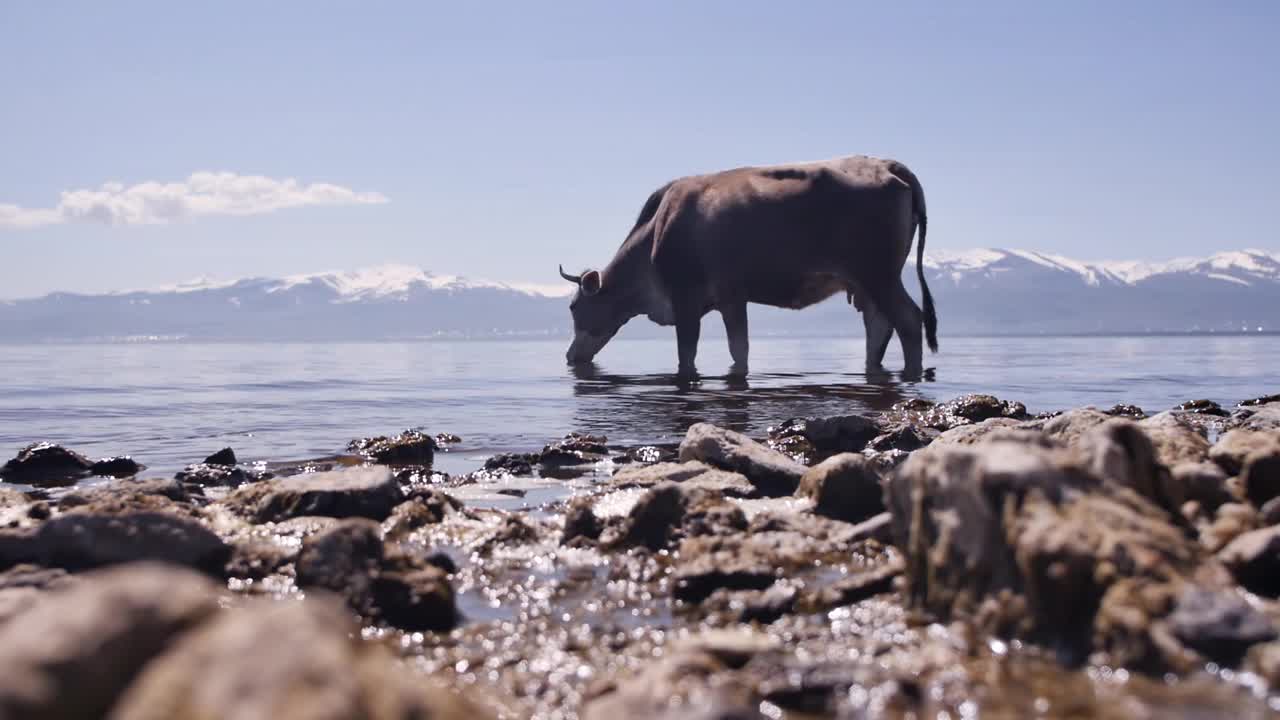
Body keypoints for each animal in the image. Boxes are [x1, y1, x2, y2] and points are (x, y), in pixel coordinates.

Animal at [560, 155, 942, 376]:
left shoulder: (687, 298)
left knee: (909, 320)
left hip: (879, 274)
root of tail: (887, 164)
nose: (569, 356)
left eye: (574, 307)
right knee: (879, 326)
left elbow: (687, 353)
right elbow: (738, 348)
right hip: (866, 283)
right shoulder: (731, 297)